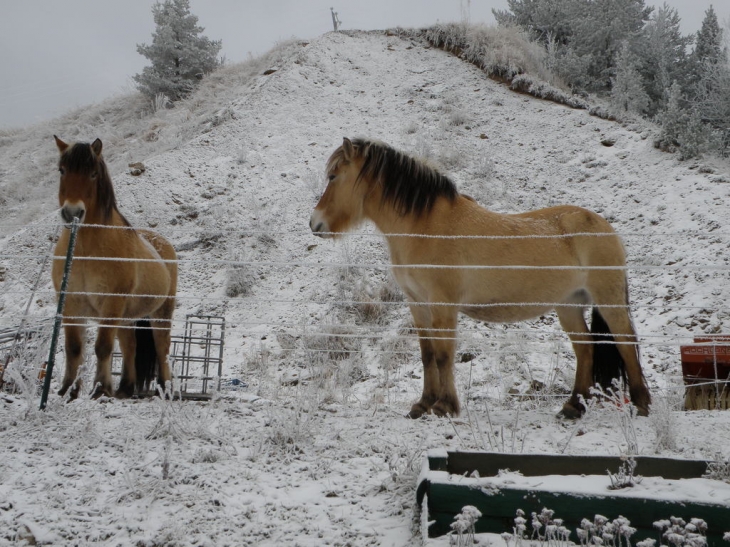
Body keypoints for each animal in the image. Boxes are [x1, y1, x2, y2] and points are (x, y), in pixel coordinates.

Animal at [52, 136, 177, 402]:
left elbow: (102, 347)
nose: (72, 212)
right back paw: (125, 388)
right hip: (126, 316)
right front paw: (68, 390)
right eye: (62, 170)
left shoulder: (110, 303)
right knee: (130, 345)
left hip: (160, 311)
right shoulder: (70, 304)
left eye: (92, 174)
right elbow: (73, 348)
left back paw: (165, 390)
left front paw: (100, 389)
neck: (85, 249)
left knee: (162, 347)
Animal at [308, 138, 648, 420]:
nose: (315, 223)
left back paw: (642, 404)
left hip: (608, 300)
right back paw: (573, 406)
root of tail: (605, 227)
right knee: (585, 348)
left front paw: (445, 406)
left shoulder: (443, 305)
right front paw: (423, 404)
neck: (426, 227)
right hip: (569, 304)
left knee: (625, 341)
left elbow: (444, 355)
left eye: (334, 176)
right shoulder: (417, 303)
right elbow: (427, 354)